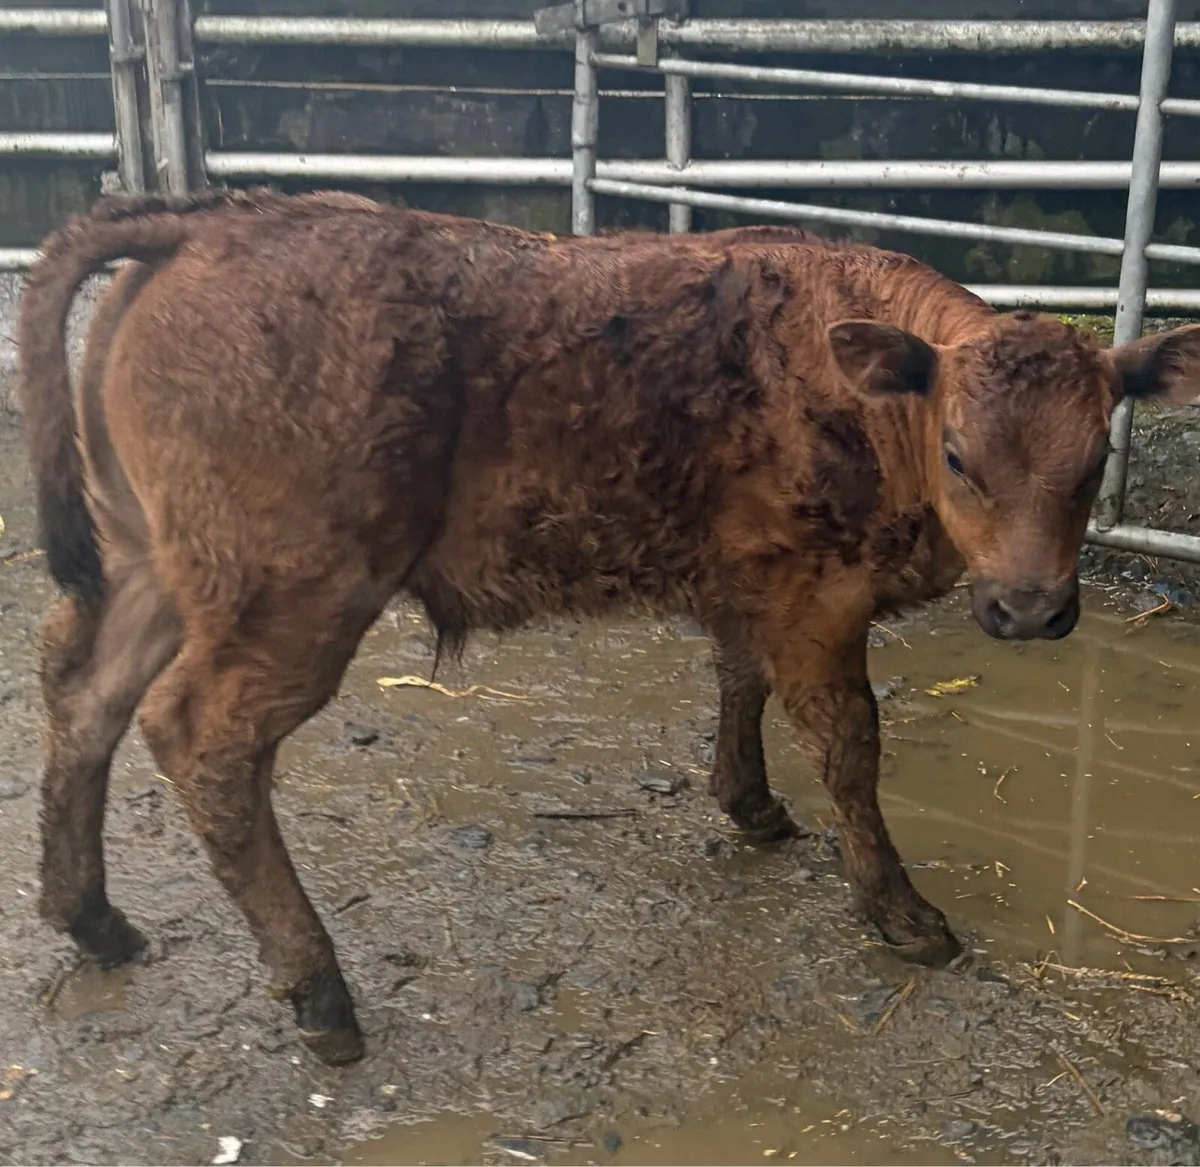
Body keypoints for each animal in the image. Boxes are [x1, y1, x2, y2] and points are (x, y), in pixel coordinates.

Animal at [18, 187, 1200, 1065]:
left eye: (1095, 459)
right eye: (959, 454)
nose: (1031, 608)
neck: (856, 392)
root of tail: (212, 223)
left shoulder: (749, 585)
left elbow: (738, 682)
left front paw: (751, 805)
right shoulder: (819, 604)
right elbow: (849, 745)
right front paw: (901, 912)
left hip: (151, 564)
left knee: (81, 685)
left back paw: (94, 917)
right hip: (292, 596)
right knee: (201, 736)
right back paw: (319, 993)